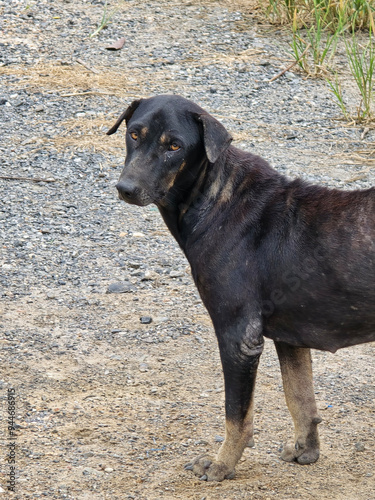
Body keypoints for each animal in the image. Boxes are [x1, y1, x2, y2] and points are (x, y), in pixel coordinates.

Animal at [106, 94, 375, 480]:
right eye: (133, 134)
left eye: (175, 146)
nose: (126, 189)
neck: (218, 199)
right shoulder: (290, 338)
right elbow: (299, 397)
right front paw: (305, 450)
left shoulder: (238, 337)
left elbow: (237, 415)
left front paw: (221, 465)